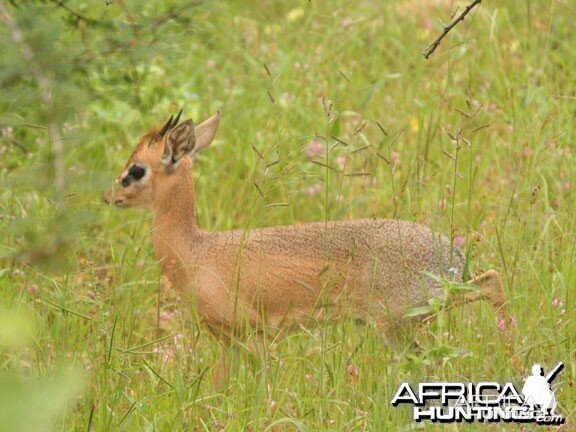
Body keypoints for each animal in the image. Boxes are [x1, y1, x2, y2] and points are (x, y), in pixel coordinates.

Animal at [103, 111, 508, 358]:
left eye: (136, 170)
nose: (110, 197)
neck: (196, 252)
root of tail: (450, 256)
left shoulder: (252, 335)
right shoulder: (229, 343)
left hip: (400, 321)